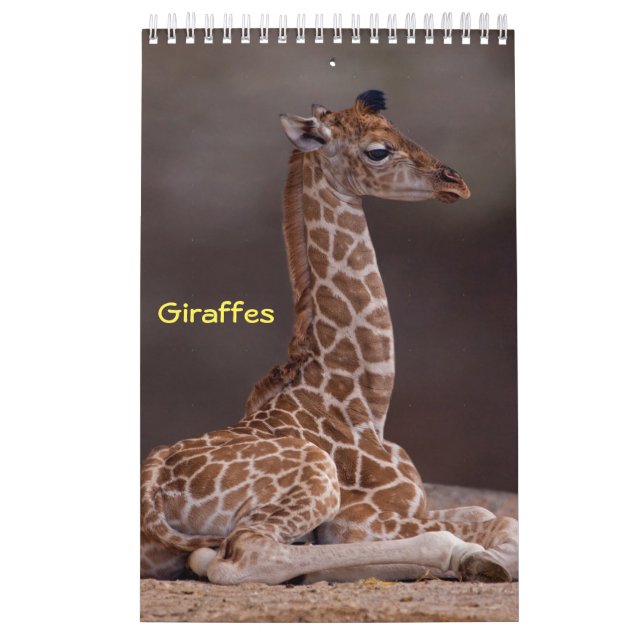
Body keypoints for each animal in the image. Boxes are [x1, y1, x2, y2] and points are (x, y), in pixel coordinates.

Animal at [141, 90, 518, 585]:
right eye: (378, 150)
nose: (455, 182)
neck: (365, 402)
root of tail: (151, 491)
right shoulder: (360, 520)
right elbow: (502, 523)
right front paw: (485, 557)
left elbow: (485, 512)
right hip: (315, 476)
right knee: (246, 554)